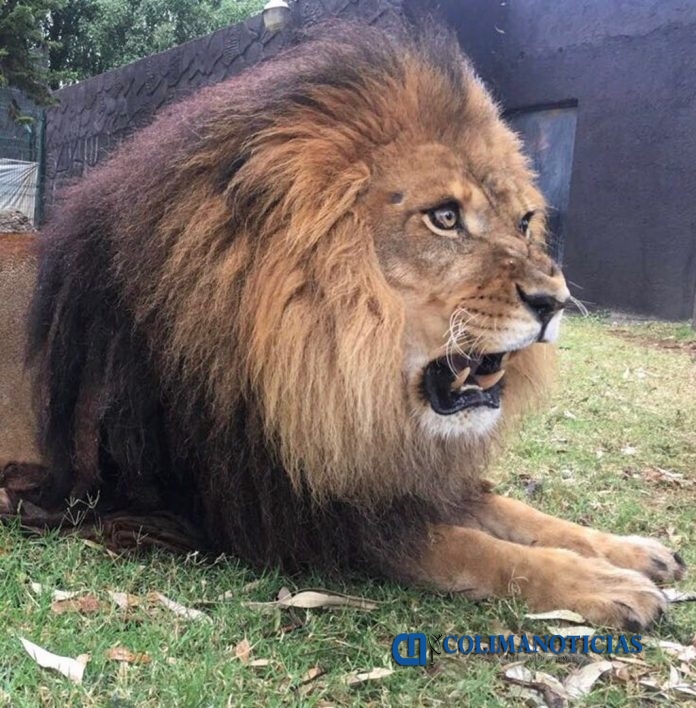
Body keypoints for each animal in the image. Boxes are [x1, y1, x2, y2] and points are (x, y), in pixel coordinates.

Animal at [1, 23, 684, 629]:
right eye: (444, 217)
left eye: (523, 223)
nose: (556, 301)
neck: (338, 372)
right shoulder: (273, 509)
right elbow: (469, 546)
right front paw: (604, 585)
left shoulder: (385, 468)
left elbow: (510, 509)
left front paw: (633, 552)